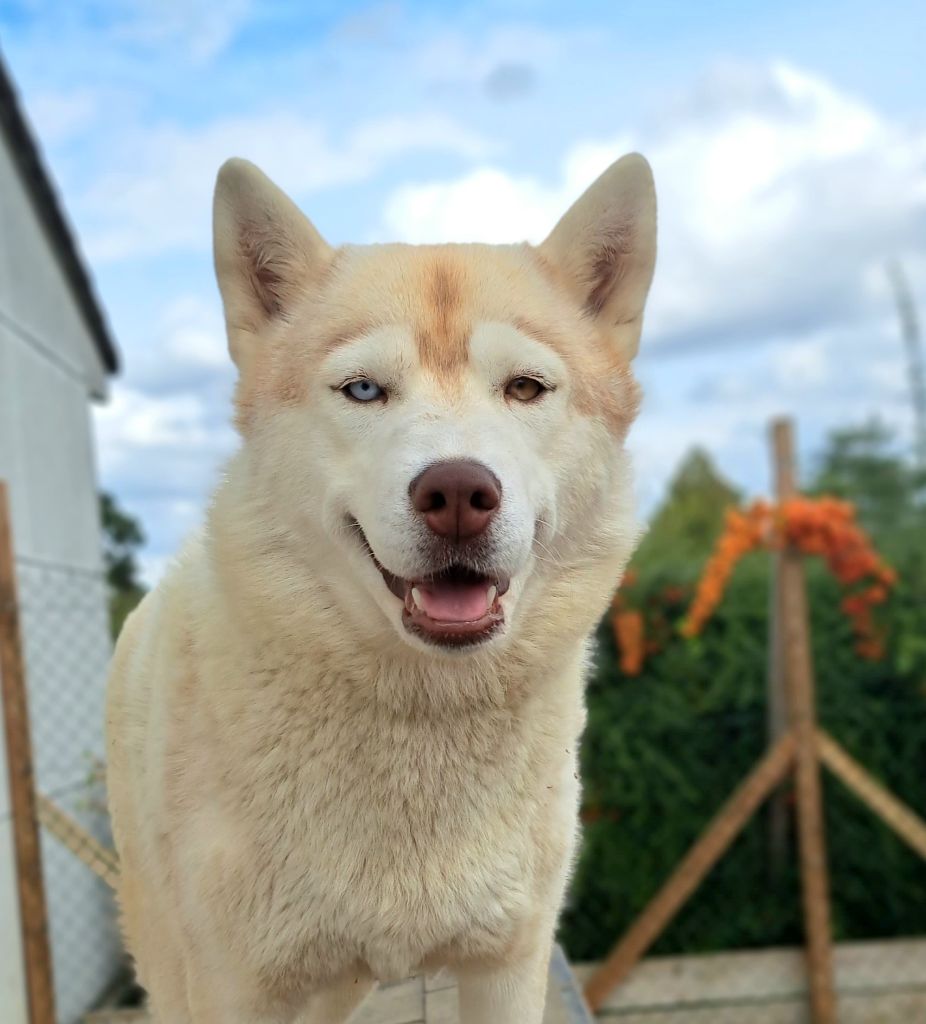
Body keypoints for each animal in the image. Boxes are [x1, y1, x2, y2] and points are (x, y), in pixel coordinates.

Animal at [108, 153, 655, 1024]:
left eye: (525, 388)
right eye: (364, 390)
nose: (458, 492)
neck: (419, 714)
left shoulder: (509, 962)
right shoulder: (236, 986)